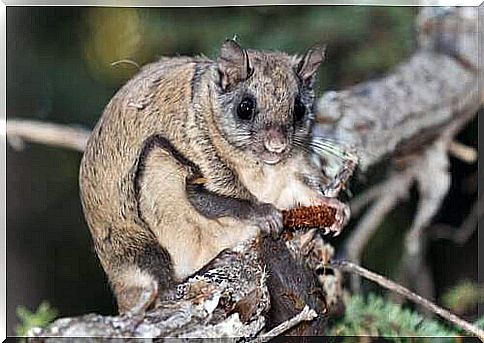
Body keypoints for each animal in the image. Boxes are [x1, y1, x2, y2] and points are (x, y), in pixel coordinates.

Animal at [81, 39, 350, 316]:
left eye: (299, 109)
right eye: (245, 108)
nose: (277, 145)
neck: (262, 169)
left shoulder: (289, 178)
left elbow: (305, 191)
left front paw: (335, 208)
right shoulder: (202, 164)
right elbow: (213, 200)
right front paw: (266, 214)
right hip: (156, 180)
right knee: (164, 288)